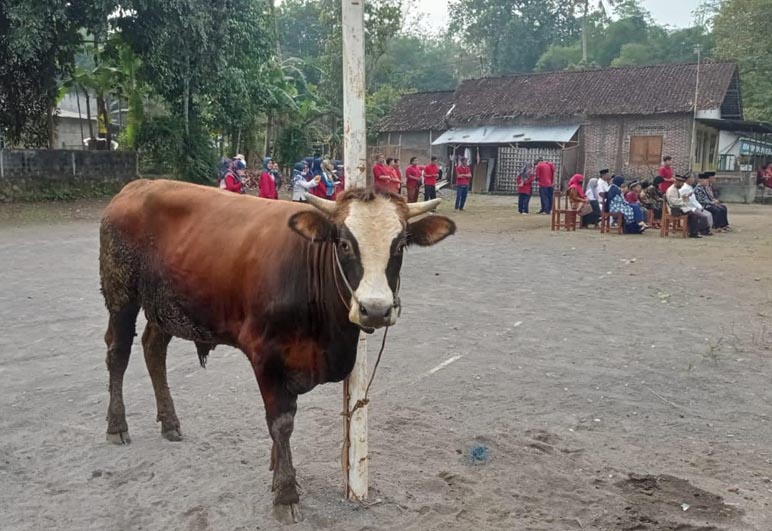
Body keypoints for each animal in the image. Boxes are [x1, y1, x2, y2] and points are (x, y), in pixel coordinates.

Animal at [99, 179, 456, 516]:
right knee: (118, 354)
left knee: (153, 349)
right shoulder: (266, 356)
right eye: (343, 244)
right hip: (121, 294)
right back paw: (117, 425)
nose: (376, 309)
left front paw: (276, 472)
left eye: (400, 245)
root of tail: (136, 186)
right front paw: (286, 492)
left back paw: (170, 422)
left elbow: (285, 420)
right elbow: (281, 422)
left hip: (165, 306)